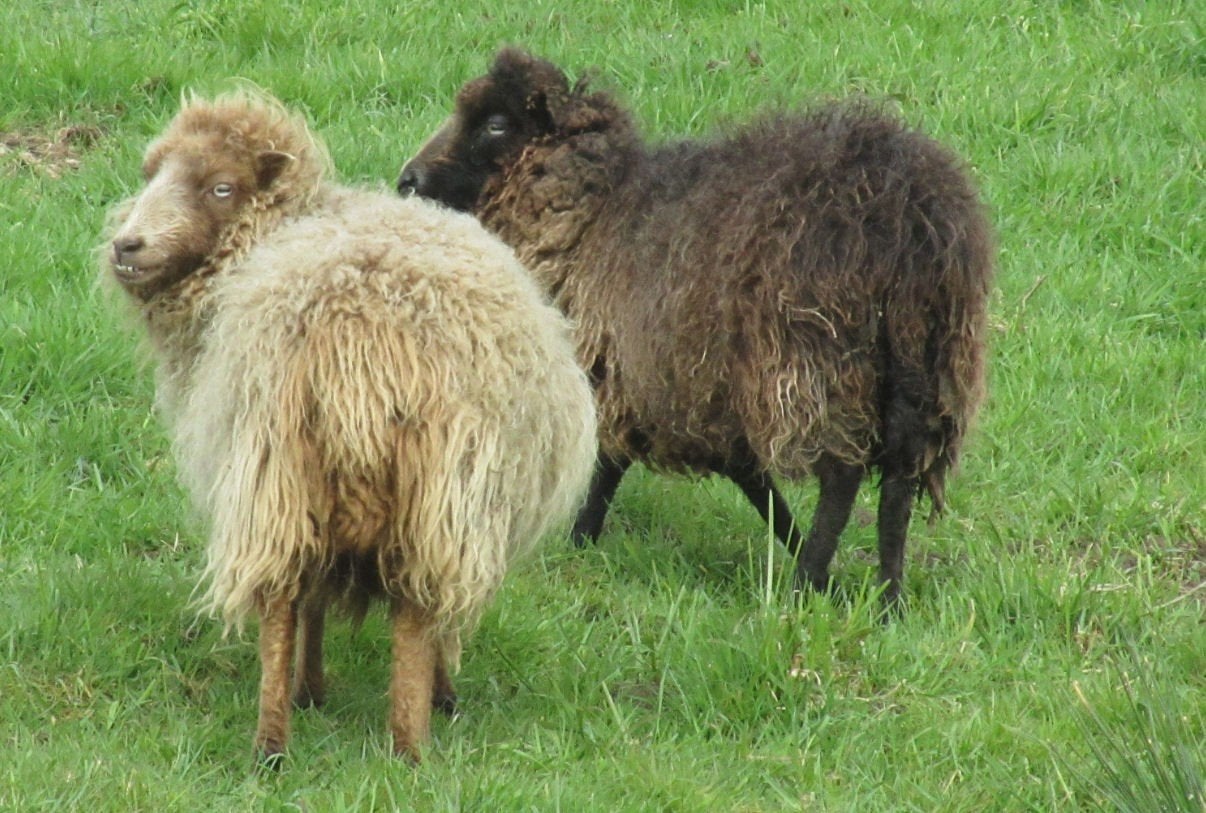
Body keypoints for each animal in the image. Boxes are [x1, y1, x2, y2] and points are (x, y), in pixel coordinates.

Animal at [103, 91, 597, 764]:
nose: (127, 245)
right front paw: (432, 692)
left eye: (221, 187)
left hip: (281, 473)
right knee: (411, 612)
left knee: (284, 601)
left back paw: (273, 742)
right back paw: (409, 742)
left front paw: (313, 690)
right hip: (430, 492)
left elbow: (314, 600)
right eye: (151, 173)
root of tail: (354, 344)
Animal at [398, 48, 995, 608]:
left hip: (817, 359)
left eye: (496, 124)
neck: (592, 214)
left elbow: (609, 463)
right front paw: (807, 558)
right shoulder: (690, 382)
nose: (409, 180)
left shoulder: (623, 360)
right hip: (927, 365)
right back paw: (889, 599)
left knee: (841, 476)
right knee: (899, 483)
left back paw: (805, 583)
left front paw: (580, 539)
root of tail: (911, 218)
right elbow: (750, 481)